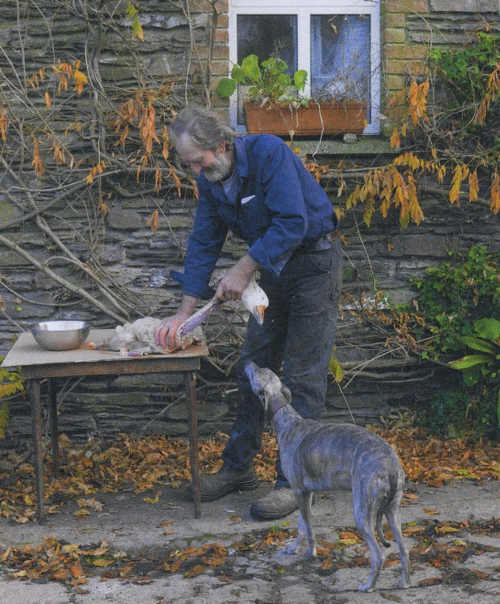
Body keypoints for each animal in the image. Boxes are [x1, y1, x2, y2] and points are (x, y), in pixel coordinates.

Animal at [244, 360, 412, 592]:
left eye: (257, 373)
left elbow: (308, 529)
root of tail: (390, 466)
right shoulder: (306, 493)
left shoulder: (298, 490)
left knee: (378, 555)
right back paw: (404, 582)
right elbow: (302, 525)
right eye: (266, 370)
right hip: (392, 511)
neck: (288, 422)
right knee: (404, 550)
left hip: (362, 511)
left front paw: (309, 553)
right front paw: (293, 547)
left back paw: (367, 585)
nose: (247, 362)